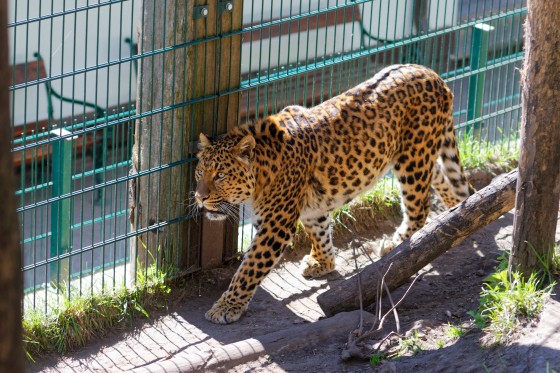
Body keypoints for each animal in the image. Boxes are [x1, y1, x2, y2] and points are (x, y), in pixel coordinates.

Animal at [194, 64, 472, 322]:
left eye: (220, 175)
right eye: (199, 172)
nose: (199, 197)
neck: (263, 172)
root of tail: (431, 72)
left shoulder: (276, 226)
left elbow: (249, 268)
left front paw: (226, 307)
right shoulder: (311, 207)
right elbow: (319, 230)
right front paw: (323, 262)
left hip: (413, 161)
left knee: (419, 207)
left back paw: (399, 244)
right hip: (417, 155)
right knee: (440, 175)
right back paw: (455, 212)